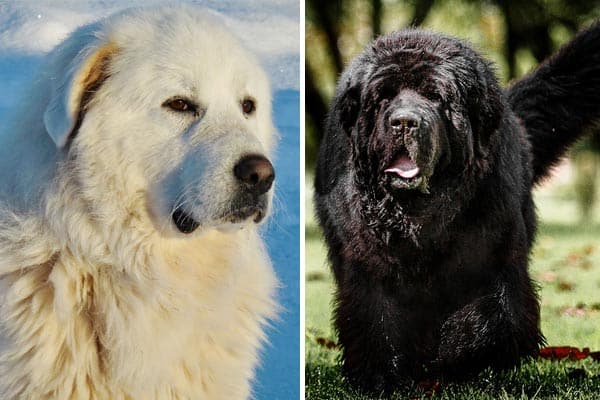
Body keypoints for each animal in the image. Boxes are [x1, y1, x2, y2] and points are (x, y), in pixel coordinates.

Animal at [314, 23, 600, 392]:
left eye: (436, 96)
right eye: (383, 97)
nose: (404, 122)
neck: (417, 214)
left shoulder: (490, 254)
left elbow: (489, 316)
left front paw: (457, 361)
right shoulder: (367, 261)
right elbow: (375, 317)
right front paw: (381, 376)